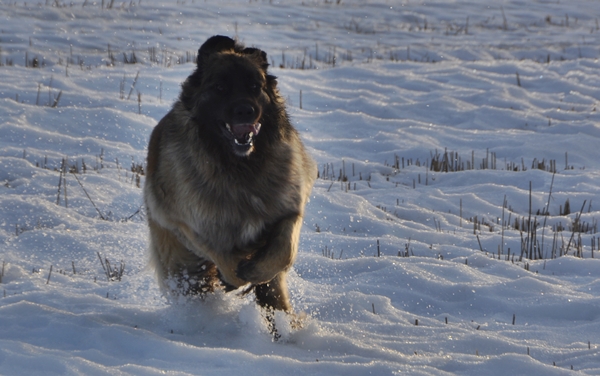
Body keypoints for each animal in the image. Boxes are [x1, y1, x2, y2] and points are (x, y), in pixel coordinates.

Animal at [144, 36, 316, 318]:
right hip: (182, 266)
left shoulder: (288, 207)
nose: (246, 111)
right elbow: (221, 253)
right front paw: (236, 275)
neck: (239, 166)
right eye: (220, 87)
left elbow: (284, 250)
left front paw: (255, 270)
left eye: (255, 86)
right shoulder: (185, 222)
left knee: (274, 296)